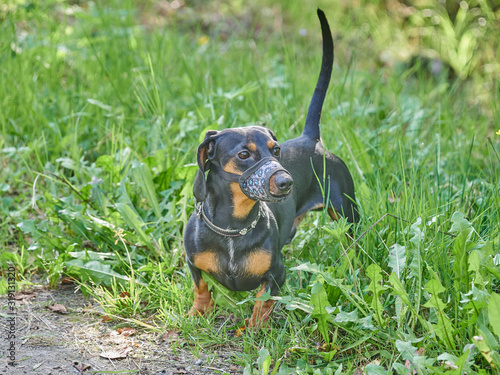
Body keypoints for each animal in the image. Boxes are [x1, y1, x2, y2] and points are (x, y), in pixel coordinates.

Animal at [186, 8, 358, 328]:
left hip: (347, 213)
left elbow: (262, 302)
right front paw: (199, 311)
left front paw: (254, 329)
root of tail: (311, 139)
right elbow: (200, 285)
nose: (286, 182)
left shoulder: (277, 274)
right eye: (244, 154)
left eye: (276, 150)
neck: (234, 228)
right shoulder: (192, 262)